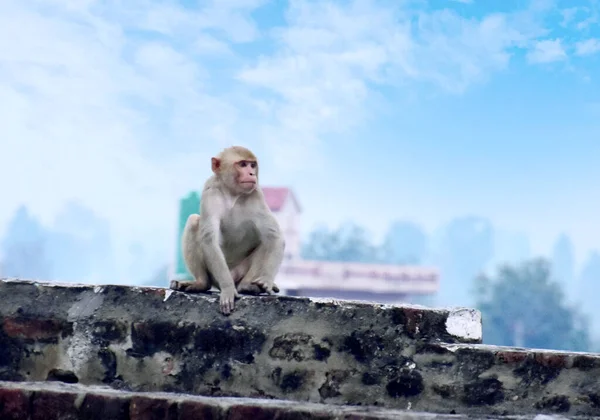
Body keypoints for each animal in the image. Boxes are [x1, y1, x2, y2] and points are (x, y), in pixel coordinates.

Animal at [171, 146, 286, 314]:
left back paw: (246, 286)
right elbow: (209, 238)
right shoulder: (210, 191)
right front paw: (228, 289)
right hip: (215, 275)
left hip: (240, 271)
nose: (251, 174)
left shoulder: (257, 194)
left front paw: (267, 280)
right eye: (243, 164)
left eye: (252, 165)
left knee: (266, 242)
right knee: (193, 221)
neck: (232, 193)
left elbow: (275, 236)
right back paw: (201, 283)